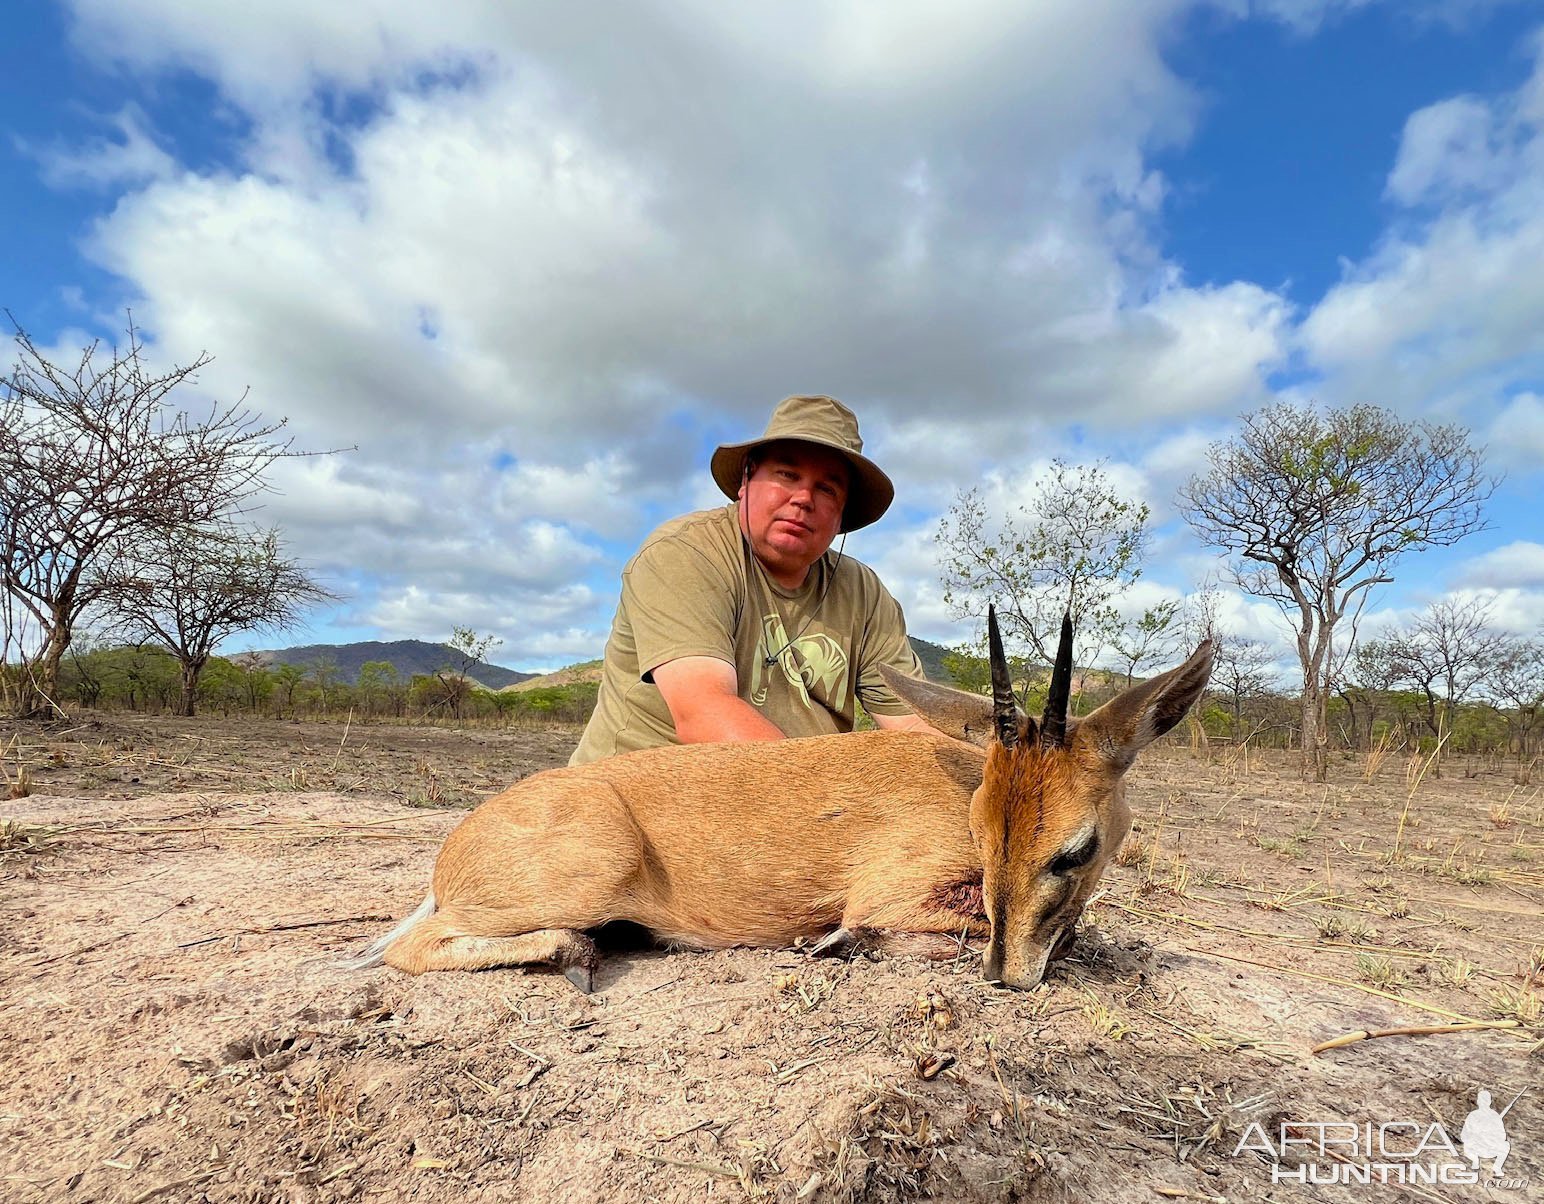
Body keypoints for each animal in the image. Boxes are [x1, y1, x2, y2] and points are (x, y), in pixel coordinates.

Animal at [355, 608, 1210, 994]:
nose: (1008, 976)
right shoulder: (893, 895)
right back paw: (573, 952)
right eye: (981, 833)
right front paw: (835, 943)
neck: (955, 779)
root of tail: (455, 852)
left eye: (1075, 848)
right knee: (405, 949)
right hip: (586, 872)